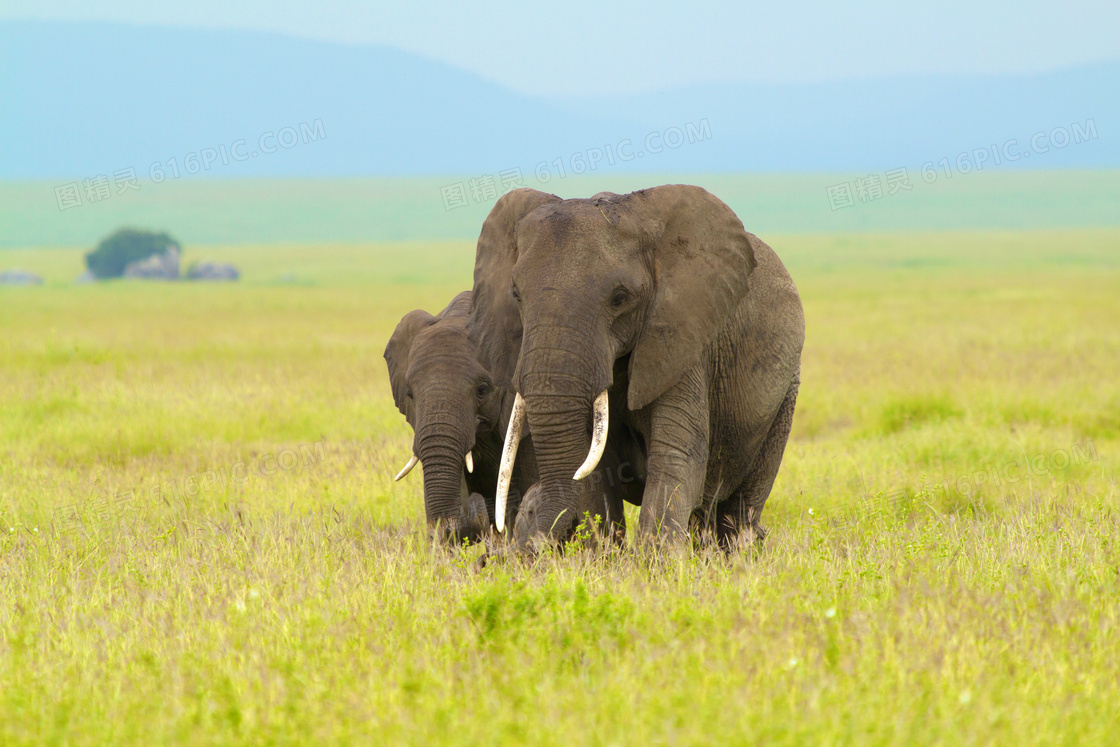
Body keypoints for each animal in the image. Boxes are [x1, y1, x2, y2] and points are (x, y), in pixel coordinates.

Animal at [481, 185, 806, 548]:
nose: (527, 539)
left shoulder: (681, 340)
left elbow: (676, 458)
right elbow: (594, 470)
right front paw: (605, 556)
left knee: (741, 506)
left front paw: (654, 561)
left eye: (619, 298)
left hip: (785, 393)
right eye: (515, 294)